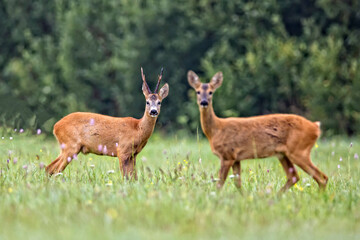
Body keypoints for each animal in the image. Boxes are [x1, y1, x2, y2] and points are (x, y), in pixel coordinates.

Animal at [188, 70, 330, 191]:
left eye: (211, 92)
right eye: (197, 91)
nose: (204, 102)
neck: (215, 130)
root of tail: (315, 127)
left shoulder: (227, 155)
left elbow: (220, 183)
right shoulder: (236, 158)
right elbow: (237, 183)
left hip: (299, 150)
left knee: (321, 177)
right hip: (283, 154)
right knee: (294, 176)